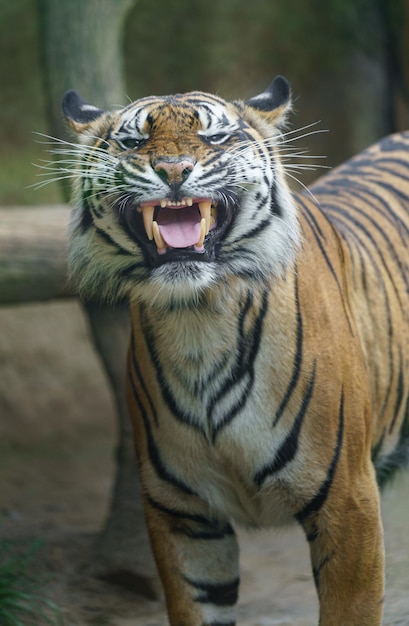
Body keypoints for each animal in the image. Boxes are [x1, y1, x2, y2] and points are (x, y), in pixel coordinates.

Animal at [61, 74, 408, 624]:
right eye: (133, 142)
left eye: (216, 138)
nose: (173, 170)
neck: (198, 321)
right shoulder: (181, 514)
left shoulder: (348, 499)